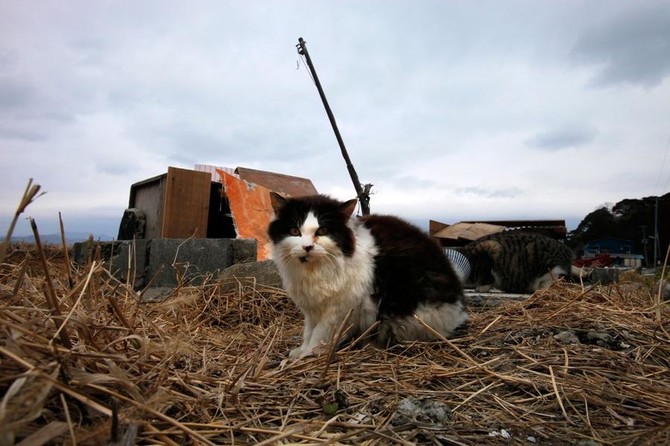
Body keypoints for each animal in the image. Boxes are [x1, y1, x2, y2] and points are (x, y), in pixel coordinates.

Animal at [266, 193, 468, 360]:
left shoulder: (338, 311)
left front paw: (307, 355)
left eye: (322, 231)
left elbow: (320, 335)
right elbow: (308, 332)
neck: (314, 270)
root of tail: (459, 311)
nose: (307, 247)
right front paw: (299, 352)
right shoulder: (312, 310)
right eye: (294, 231)